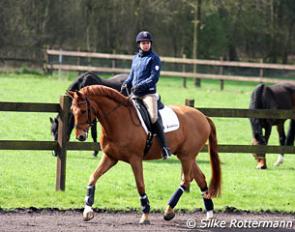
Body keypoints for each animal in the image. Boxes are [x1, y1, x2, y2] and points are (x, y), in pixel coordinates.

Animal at [68, 85, 222, 225]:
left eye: (83, 110)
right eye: (72, 111)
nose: (80, 137)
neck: (119, 120)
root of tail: (203, 116)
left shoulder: (135, 159)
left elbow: (140, 185)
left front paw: (145, 214)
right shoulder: (110, 158)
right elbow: (93, 177)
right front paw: (87, 211)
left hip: (186, 157)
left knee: (186, 180)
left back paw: (168, 211)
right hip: (187, 156)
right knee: (200, 179)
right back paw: (209, 214)